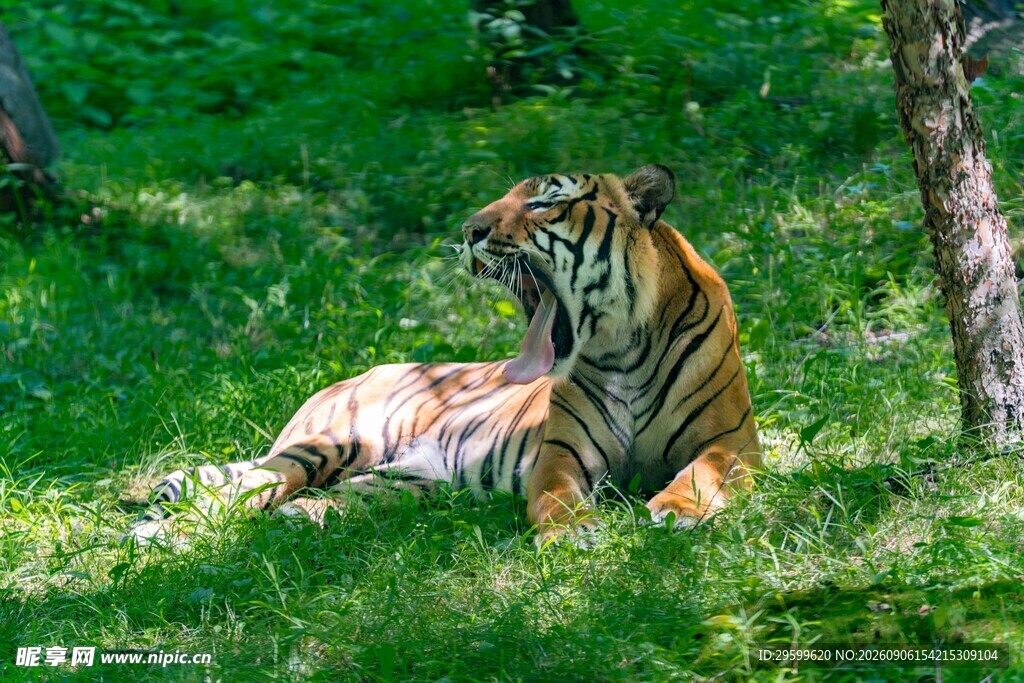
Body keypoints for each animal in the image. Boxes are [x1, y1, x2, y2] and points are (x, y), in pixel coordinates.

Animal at [130, 164, 760, 546]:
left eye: (545, 202)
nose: (469, 230)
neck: (621, 347)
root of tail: (349, 376)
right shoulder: (560, 451)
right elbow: (557, 497)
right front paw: (573, 532)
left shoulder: (733, 441)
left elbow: (702, 474)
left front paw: (675, 509)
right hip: (333, 442)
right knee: (239, 493)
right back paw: (162, 535)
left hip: (405, 482)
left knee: (305, 498)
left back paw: (297, 519)